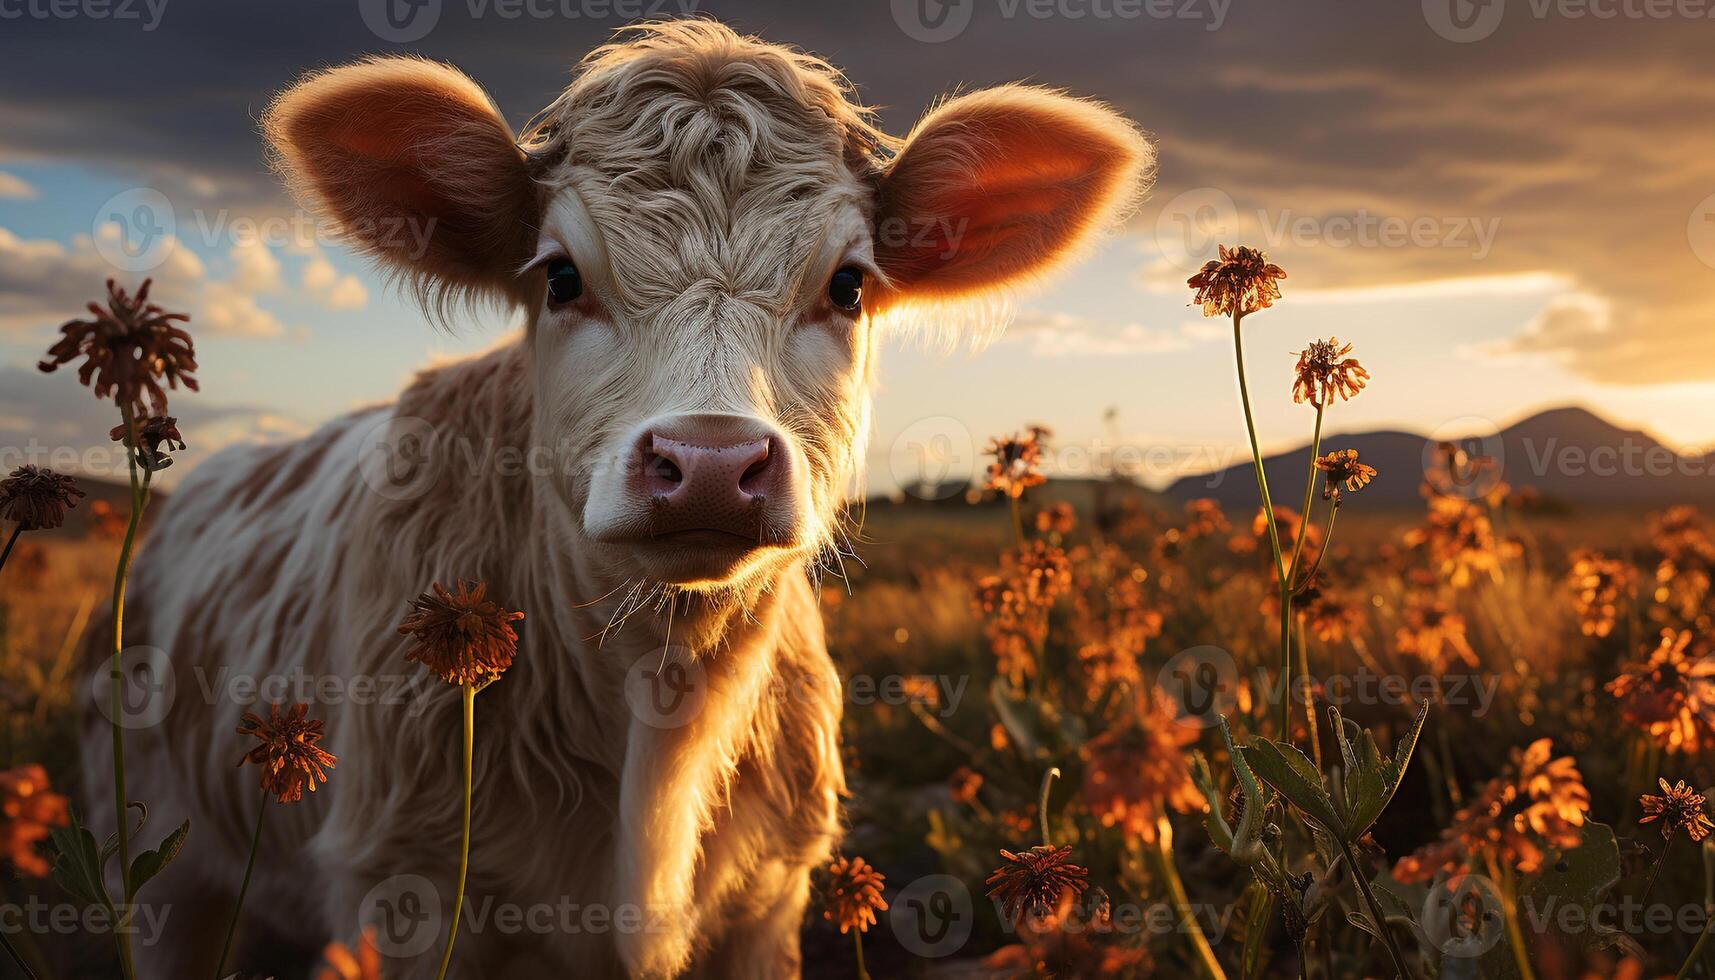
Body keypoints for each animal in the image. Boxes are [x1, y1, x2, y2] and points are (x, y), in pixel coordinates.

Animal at [83, 17, 1152, 980]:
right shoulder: (405, 890)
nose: (711, 459)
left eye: (847, 286)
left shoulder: (770, 900)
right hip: (162, 872)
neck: (659, 694)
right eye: (560, 277)